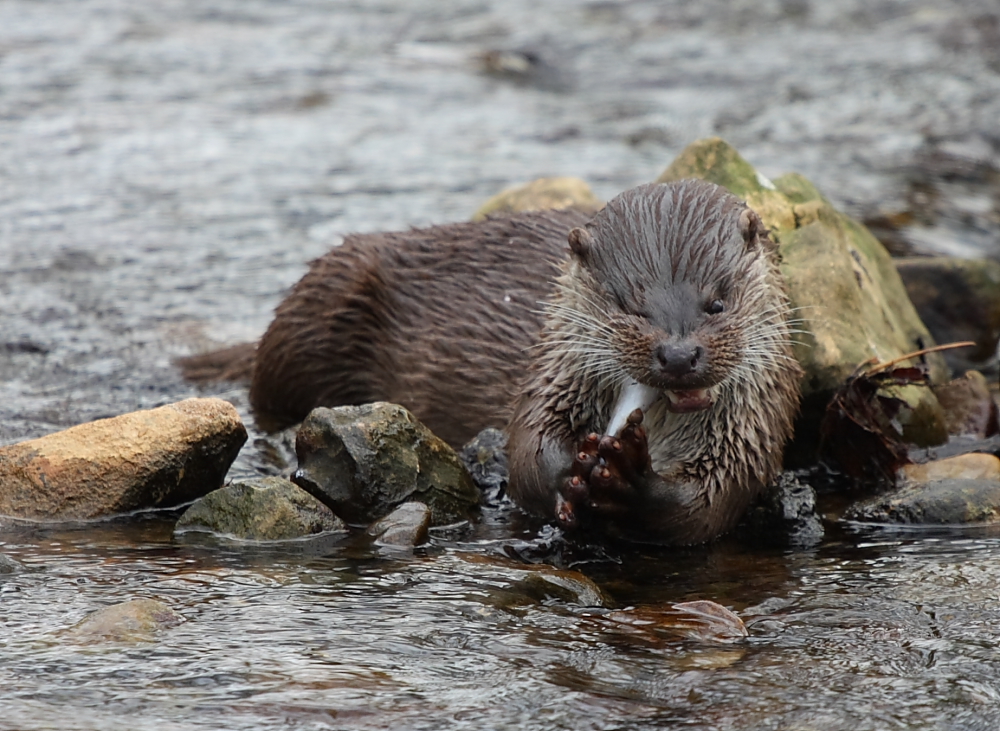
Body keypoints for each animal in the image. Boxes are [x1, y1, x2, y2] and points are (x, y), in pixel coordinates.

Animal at [180, 177, 800, 544]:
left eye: (716, 302)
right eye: (629, 305)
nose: (677, 354)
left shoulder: (751, 429)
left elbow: (705, 505)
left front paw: (628, 482)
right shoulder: (550, 375)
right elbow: (526, 452)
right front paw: (570, 473)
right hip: (321, 300)